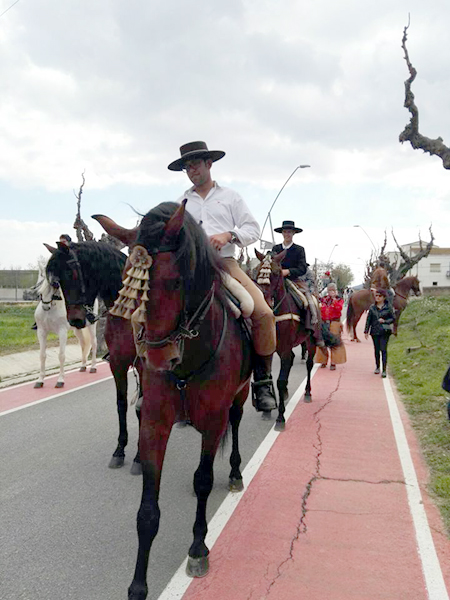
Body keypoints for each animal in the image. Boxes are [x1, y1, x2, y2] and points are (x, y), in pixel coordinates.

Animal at [95, 199, 251, 596]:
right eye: (129, 283)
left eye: (177, 281)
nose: (157, 359)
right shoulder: (155, 422)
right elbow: (147, 511)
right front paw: (137, 586)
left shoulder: (213, 422)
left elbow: (203, 481)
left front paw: (198, 548)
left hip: (240, 396)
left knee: (237, 423)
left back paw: (235, 472)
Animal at [255, 247, 318, 422]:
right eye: (257, 270)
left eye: (277, 273)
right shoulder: (270, 348)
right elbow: (268, 375)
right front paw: (268, 408)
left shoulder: (284, 349)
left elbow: (280, 380)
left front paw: (280, 417)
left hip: (311, 341)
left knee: (309, 364)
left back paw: (308, 393)